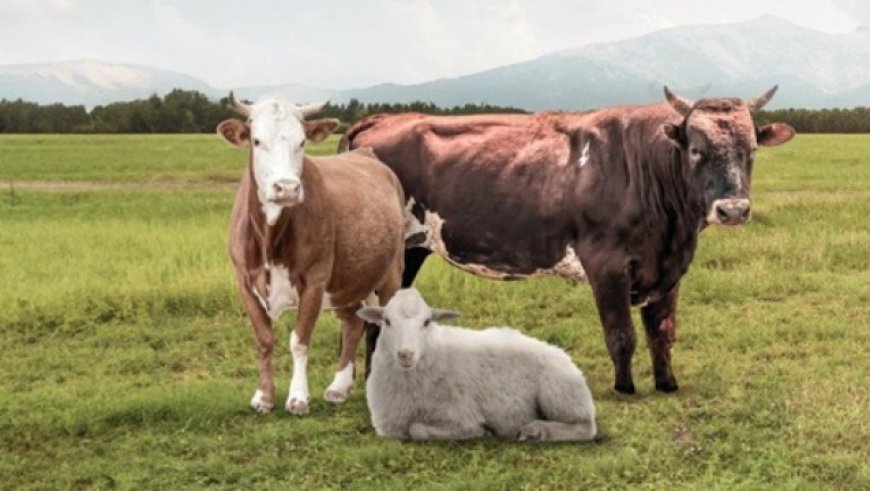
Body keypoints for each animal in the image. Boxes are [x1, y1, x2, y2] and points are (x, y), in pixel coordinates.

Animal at [220, 93, 408, 416]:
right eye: (256, 141)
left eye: (302, 142)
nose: (287, 188)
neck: (270, 238)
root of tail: (367, 154)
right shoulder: (244, 280)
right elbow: (264, 339)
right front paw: (264, 396)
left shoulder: (315, 279)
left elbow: (299, 339)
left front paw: (297, 397)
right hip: (349, 277)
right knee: (353, 322)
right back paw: (339, 387)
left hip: (391, 271)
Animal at [340, 87, 796, 396]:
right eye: (697, 149)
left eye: (751, 148)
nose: (733, 210)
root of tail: (383, 119)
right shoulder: (607, 265)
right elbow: (622, 334)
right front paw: (625, 388)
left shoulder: (668, 269)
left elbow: (662, 331)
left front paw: (667, 382)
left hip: (411, 250)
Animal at [356, 288, 600, 442]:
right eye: (387, 321)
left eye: (426, 322)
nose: (406, 354)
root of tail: (563, 355)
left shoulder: (462, 416)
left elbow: (417, 429)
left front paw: (484, 432)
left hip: (558, 393)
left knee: (585, 427)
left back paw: (536, 431)